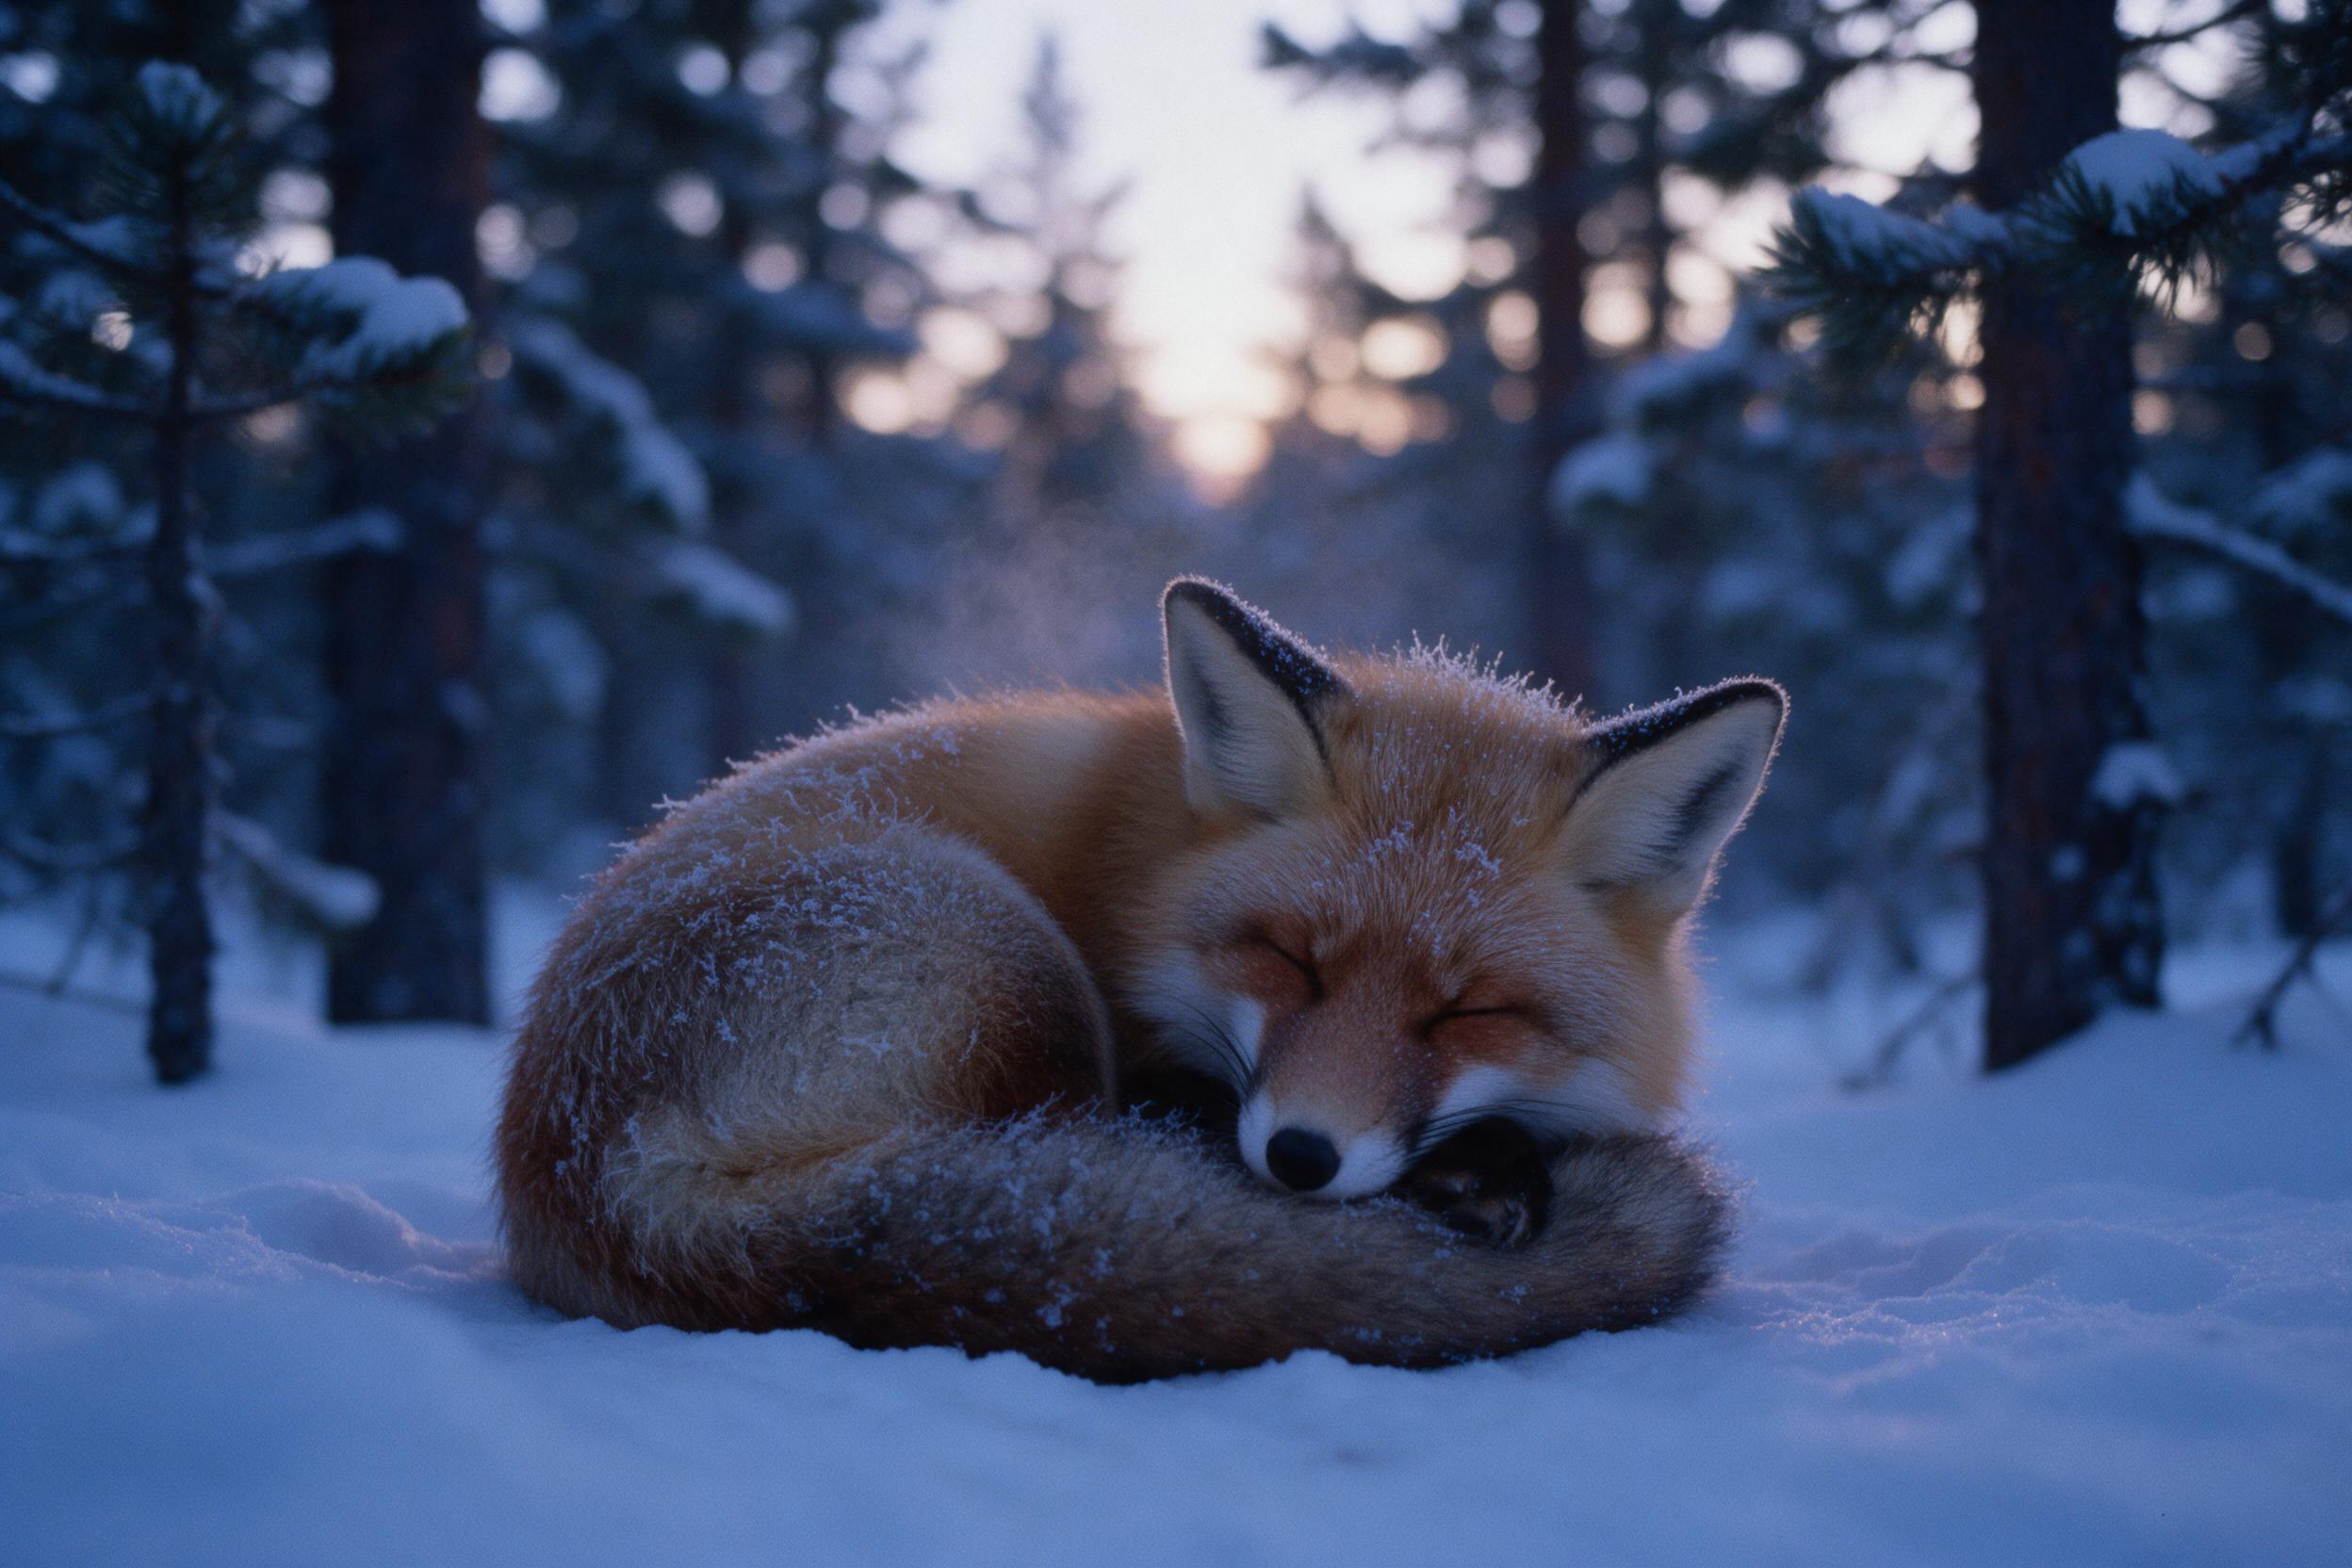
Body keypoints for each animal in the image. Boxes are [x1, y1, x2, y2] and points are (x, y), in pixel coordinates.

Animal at [496, 578, 1785, 1381]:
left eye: (1466, 1010)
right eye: (1291, 958)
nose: (1302, 1159)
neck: (1149, 862)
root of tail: (588, 1175)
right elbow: (1182, 1103)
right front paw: (1484, 1167)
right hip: (1012, 958)